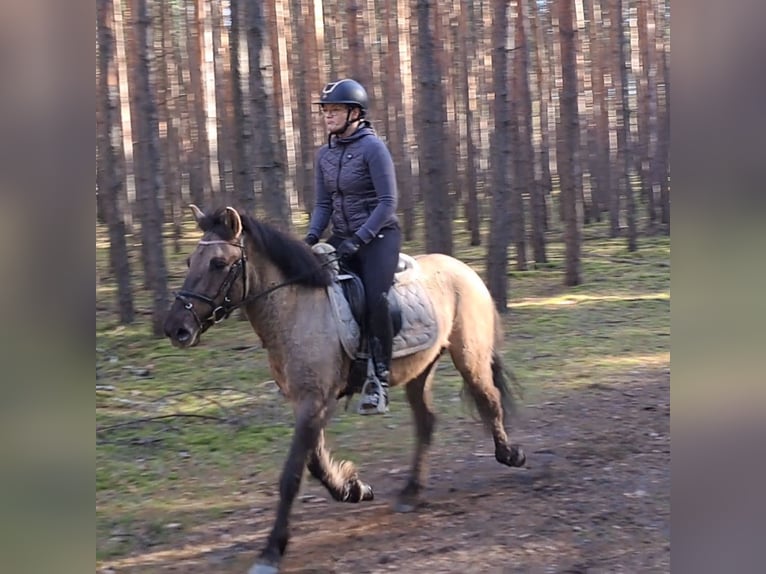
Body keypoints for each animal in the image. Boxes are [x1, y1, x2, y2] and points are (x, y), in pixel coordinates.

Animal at [163, 206, 526, 574]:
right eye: (190, 260)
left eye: (218, 263)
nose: (176, 328)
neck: (295, 307)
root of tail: (464, 269)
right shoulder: (307, 400)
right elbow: (314, 461)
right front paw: (354, 488)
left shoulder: (315, 401)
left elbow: (292, 475)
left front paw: (271, 551)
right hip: (421, 369)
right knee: (427, 421)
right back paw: (411, 492)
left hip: (469, 356)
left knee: (489, 400)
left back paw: (511, 454)